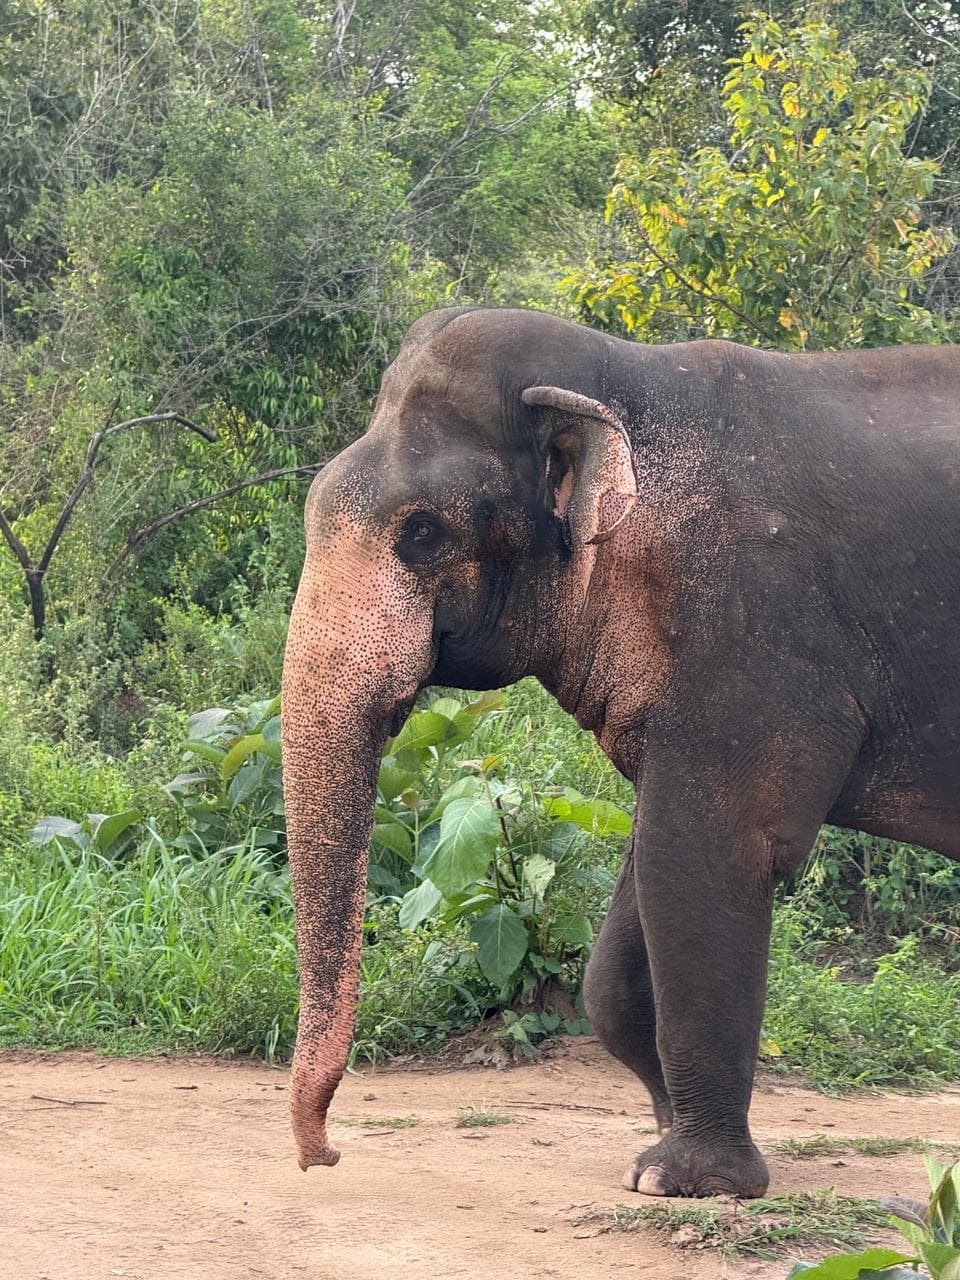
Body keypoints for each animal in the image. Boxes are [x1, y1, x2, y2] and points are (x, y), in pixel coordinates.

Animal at [281, 306, 960, 1198]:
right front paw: (659, 1150)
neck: (627, 380)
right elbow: (638, 894)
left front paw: (687, 1180)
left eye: (422, 533)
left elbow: (704, 857)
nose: (325, 1154)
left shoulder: (755, 637)